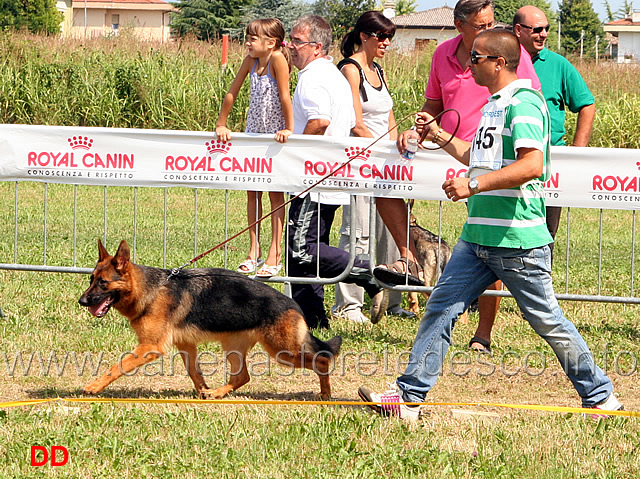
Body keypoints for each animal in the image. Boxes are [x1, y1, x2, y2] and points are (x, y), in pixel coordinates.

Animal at [79, 240, 342, 402]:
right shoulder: (186, 345)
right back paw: (217, 393)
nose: (82, 301)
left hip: (282, 351)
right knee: (241, 377)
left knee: (321, 361)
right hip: (235, 347)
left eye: (103, 283)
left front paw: (94, 386)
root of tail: (294, 305)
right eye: (91, 279)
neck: (149, 290)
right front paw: (203, 390)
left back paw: (326, 395)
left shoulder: (149, 348)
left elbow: (117, 366)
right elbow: (194, 372)